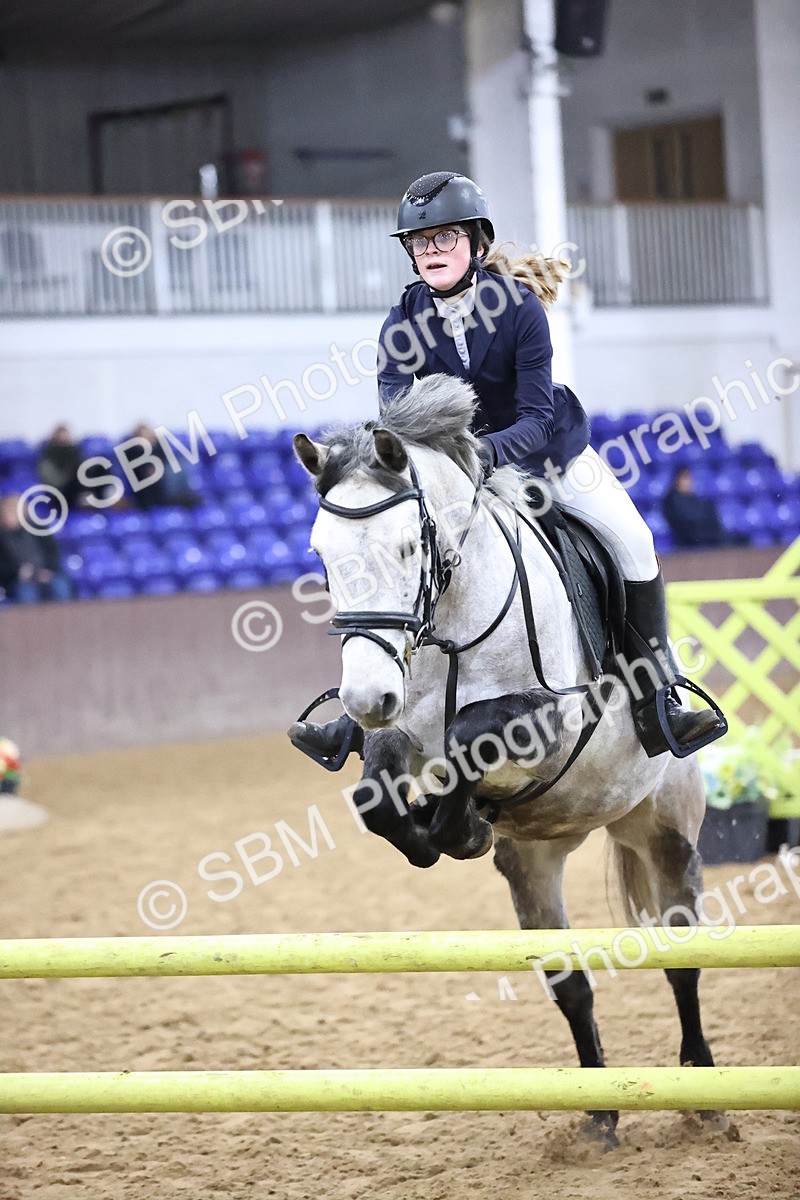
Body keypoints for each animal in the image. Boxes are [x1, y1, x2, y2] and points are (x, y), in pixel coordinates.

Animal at [292, 374, 716, 1147]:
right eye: (321, 556)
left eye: (410, 547)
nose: (365, 698)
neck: (454, 621)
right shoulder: (400, 737)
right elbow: (379, 797)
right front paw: (439, 831)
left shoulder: (548, 722)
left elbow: (471, 736)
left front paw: (458, 825)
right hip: (538, 859)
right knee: (571, 984)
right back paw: (601, 1114)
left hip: (664, 827)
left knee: (681, 962)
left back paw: (705, 1092)